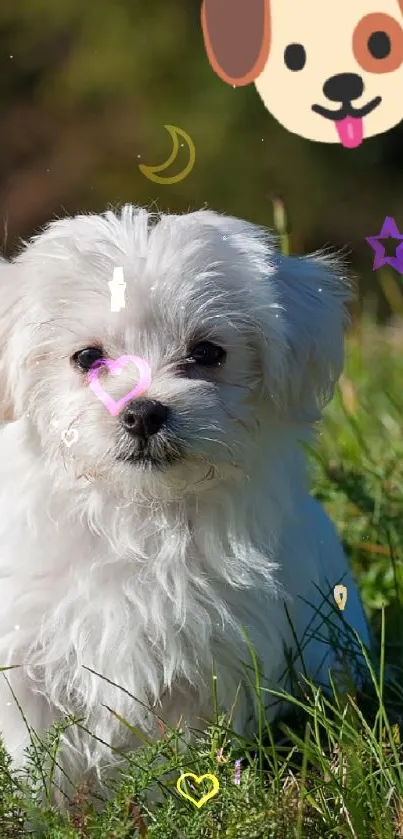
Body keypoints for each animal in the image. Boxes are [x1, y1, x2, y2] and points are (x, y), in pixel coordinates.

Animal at [0, 208, 370, 800]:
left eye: (207, 353)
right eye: (87, 357)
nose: (142, 412)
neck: (140, 514)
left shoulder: (213, 661)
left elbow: (179, 748)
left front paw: (178, 797)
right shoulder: (28, 653)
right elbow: (34, 753)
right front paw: (40, 809)